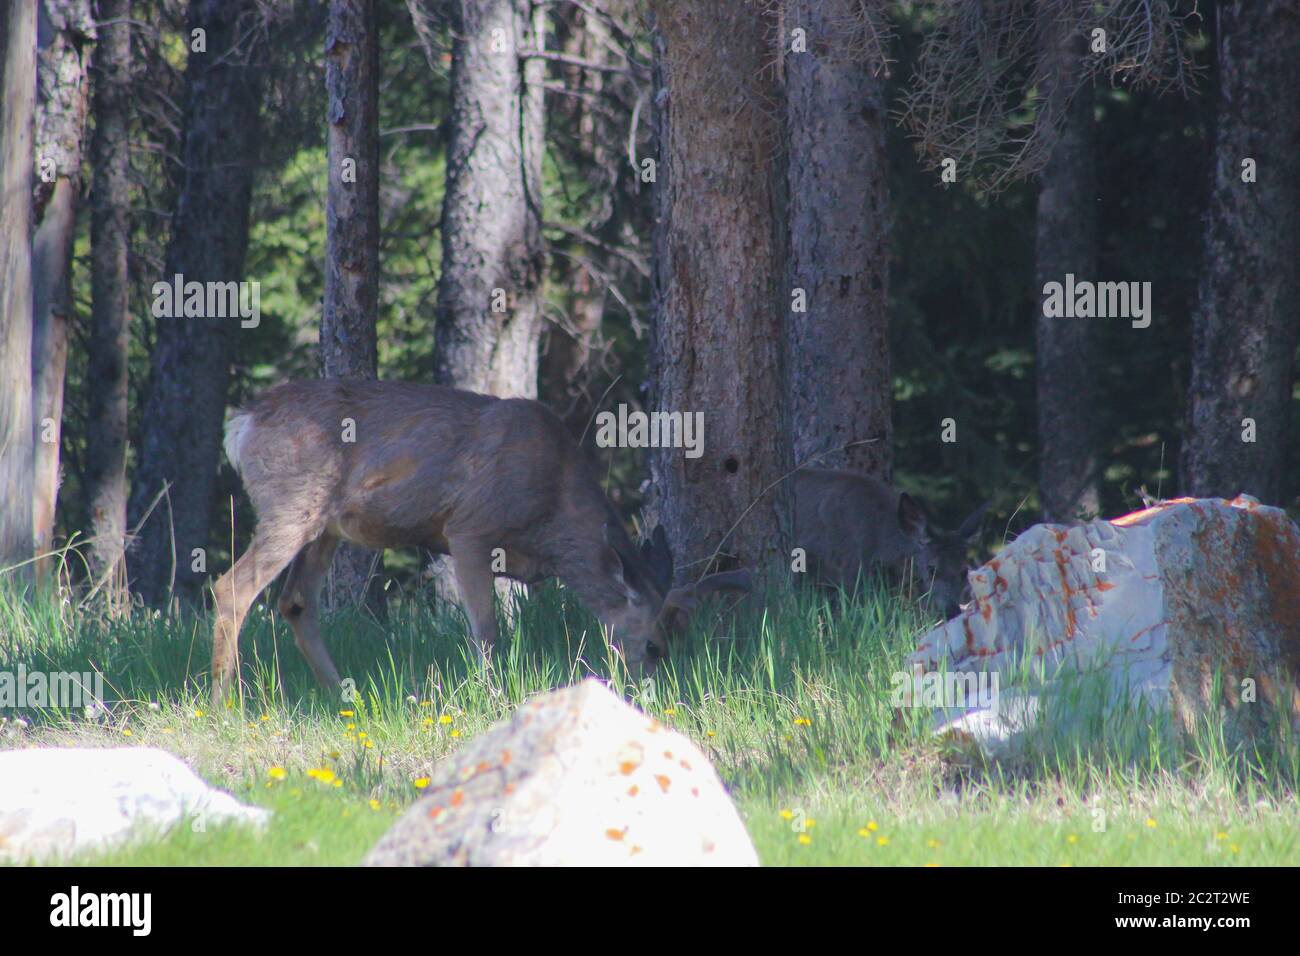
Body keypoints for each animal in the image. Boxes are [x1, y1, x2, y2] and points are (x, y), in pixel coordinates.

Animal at [213, 379, 754, 702]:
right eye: (656, 645)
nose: (659, 697)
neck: (553, 511)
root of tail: (242, 423)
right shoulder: (469, 529)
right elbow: (488, 632)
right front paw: (491, 696)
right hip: (289, 507)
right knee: (232, 587)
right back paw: (226, 703)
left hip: (324, 525)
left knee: (296, 602)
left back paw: (344, 697)